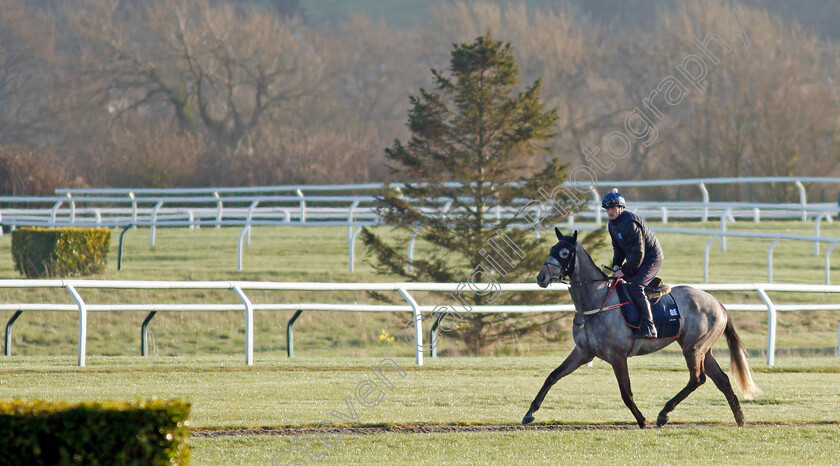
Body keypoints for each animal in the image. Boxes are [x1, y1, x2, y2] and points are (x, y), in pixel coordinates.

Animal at [520, 228, 756, 428]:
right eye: (551, 249)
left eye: (564, 252)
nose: (541, 277)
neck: (597, 301)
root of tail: (718, 303)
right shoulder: (583, 352)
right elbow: (552, 376)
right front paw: (530, 413)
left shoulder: (617, 356)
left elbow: (626, 393)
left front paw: (642, 420)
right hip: (703, 350)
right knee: (722, 380)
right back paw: (740, 419)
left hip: (693, 348)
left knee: (697, 379)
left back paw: (664, 414)